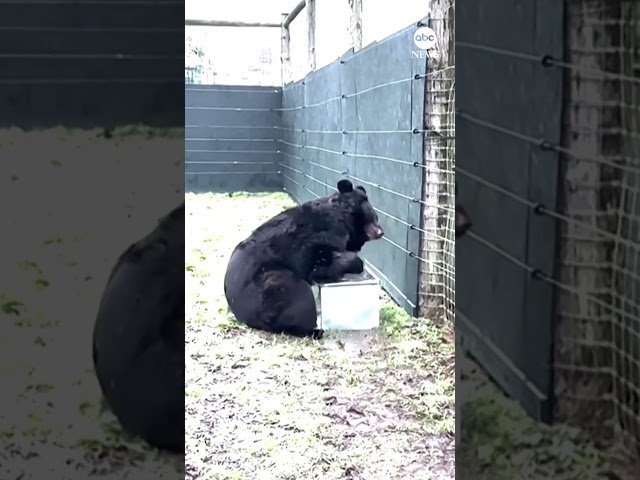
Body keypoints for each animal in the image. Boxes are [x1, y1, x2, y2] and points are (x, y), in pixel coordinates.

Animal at [225, 178, 384, 340]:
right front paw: (353, 264)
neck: (342, 217)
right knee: (299, 296)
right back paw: (314, 331)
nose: (380, 232)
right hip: (272, 286)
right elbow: (322, 265)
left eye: (376, 217)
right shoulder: (319, 239)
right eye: (372, 218)